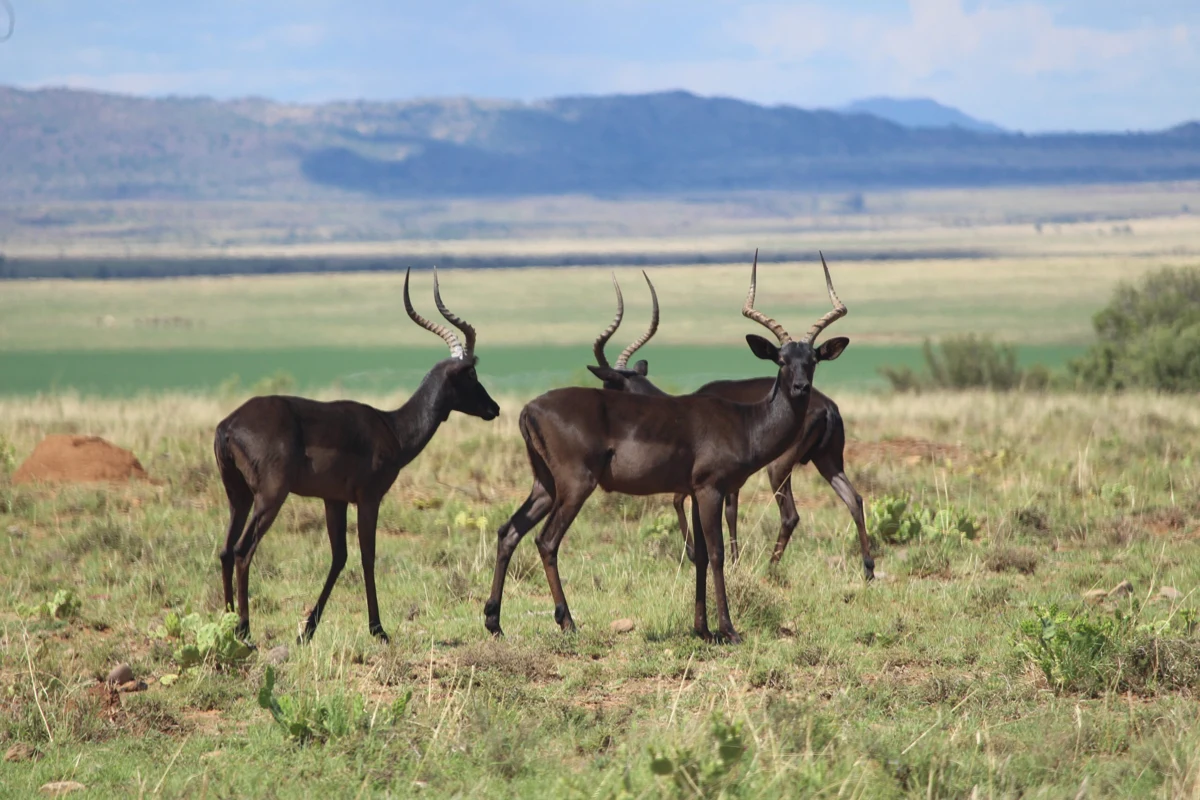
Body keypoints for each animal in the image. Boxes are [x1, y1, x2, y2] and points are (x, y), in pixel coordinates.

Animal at [213, 269, 499, 645]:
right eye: (471, 373)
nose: (493, 408)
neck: (392, 426)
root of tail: (227, 426)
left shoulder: (333, 500)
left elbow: (339, 557)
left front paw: (308, 630)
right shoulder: (369, 497)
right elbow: (367, 556)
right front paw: (378, 629)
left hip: (239, 496)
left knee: (225, 550)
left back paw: (228, 625)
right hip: (270, 496)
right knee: (243, 550)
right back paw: (245, 630)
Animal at [587, 258, 873, 579]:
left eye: (813, 360)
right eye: (783, 360)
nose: (801, 387)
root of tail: (827, 407)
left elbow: (680, 500)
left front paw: (695, 554)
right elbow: (730, 510)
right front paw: (733, 562)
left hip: (779, 467)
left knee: (791, 515)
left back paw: (770, 568)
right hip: (828, 460)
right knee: (854, 499)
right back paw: (869, 570)